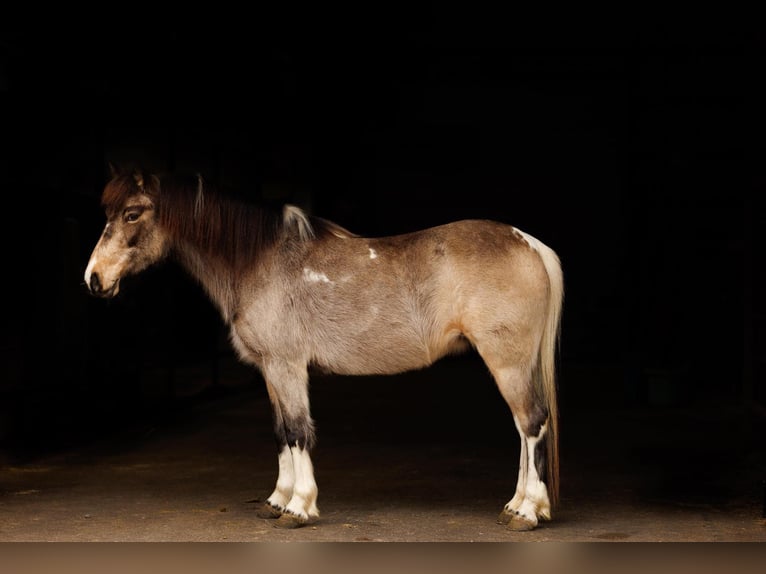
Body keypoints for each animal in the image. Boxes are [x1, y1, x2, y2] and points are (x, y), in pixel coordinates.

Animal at [84, 169, 564, 532]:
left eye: (131, 214)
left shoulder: (287, 366)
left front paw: (299, 507)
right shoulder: (270, 370)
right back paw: (516, 505)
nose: (93, 278)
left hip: (508, 362)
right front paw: (277, 500)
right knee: (523, 429)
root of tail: (529, 243)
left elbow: (298, 431)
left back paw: (527, 511)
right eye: (108, 213)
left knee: (531, 424)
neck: (261, 261)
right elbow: (281, 432)